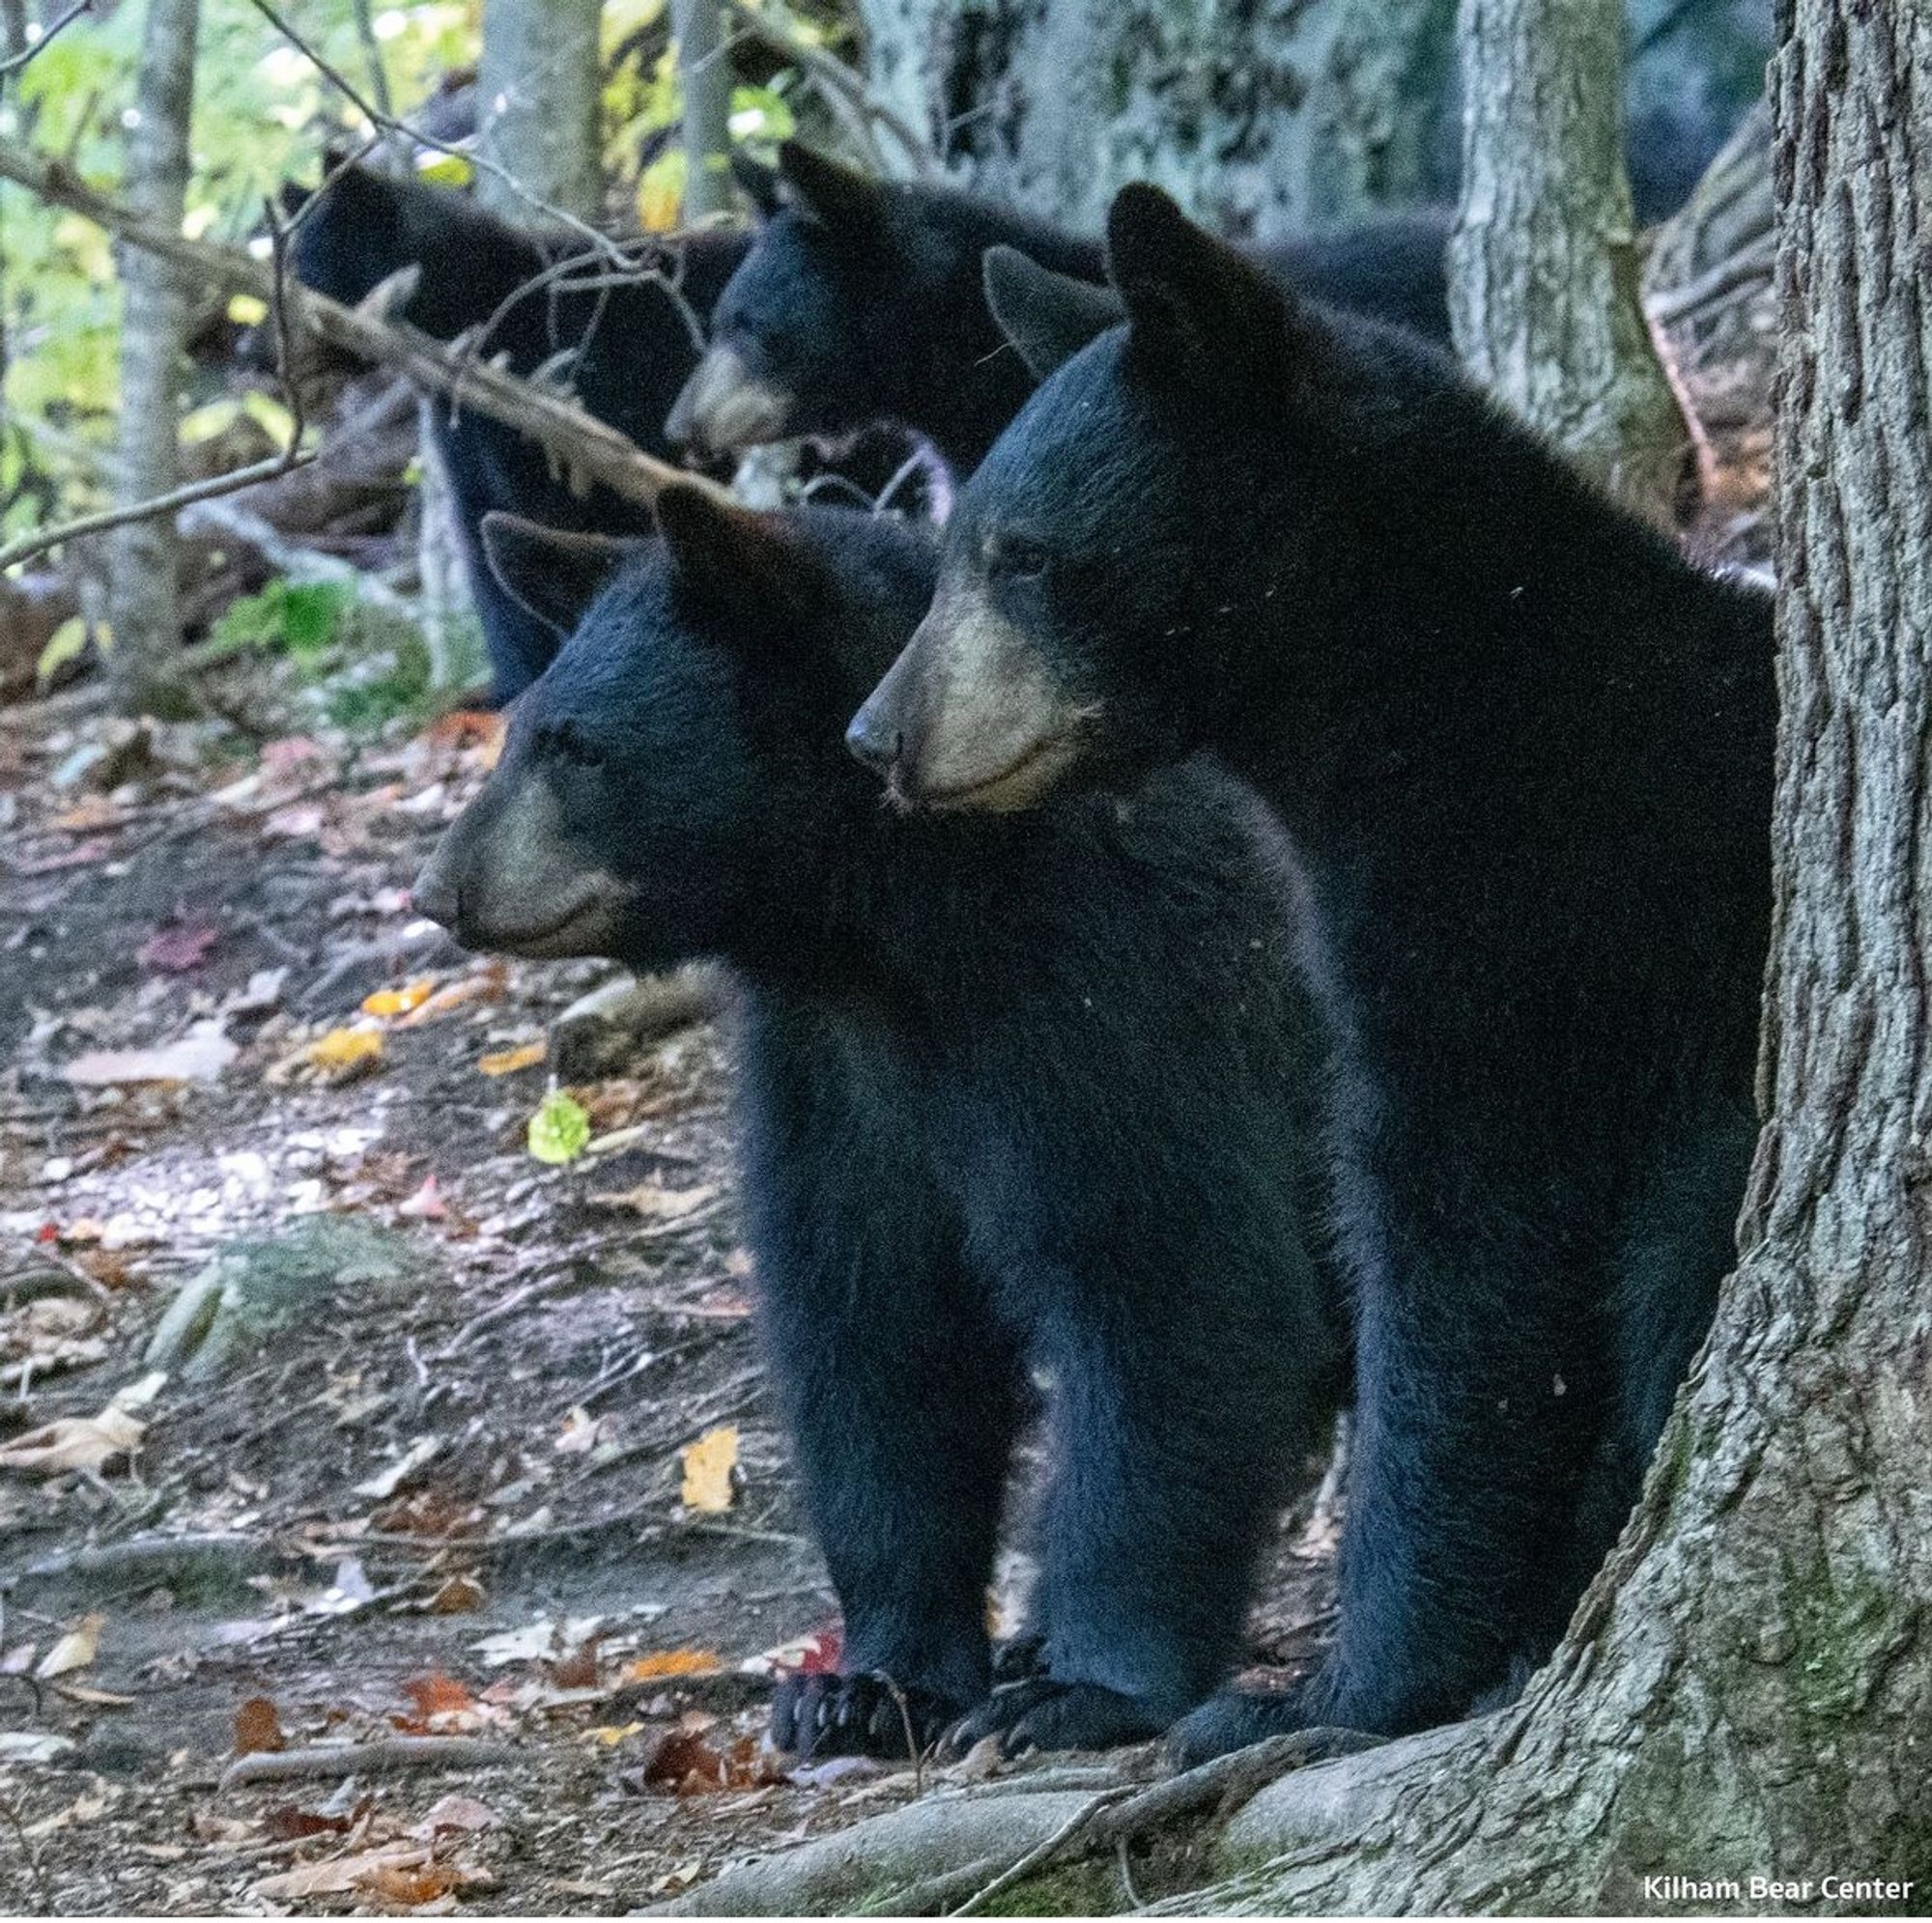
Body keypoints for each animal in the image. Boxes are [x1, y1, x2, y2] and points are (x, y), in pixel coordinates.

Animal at [408, 492, 1345, 1761]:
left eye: (578, 745)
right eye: (520, 731)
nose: (440, 889)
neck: (891, 925)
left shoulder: (1121, 992)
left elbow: (1171, 1281)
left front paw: (1083, 1683)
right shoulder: (831, 1066)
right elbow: (870, 1327)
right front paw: (867, 1681)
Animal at [854, 187, 1770, 1768]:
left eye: (1022, 554)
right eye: (954, 537)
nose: (876, 734)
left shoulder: (1524, 924)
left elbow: (1466, 1261)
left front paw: (1333, 1688)